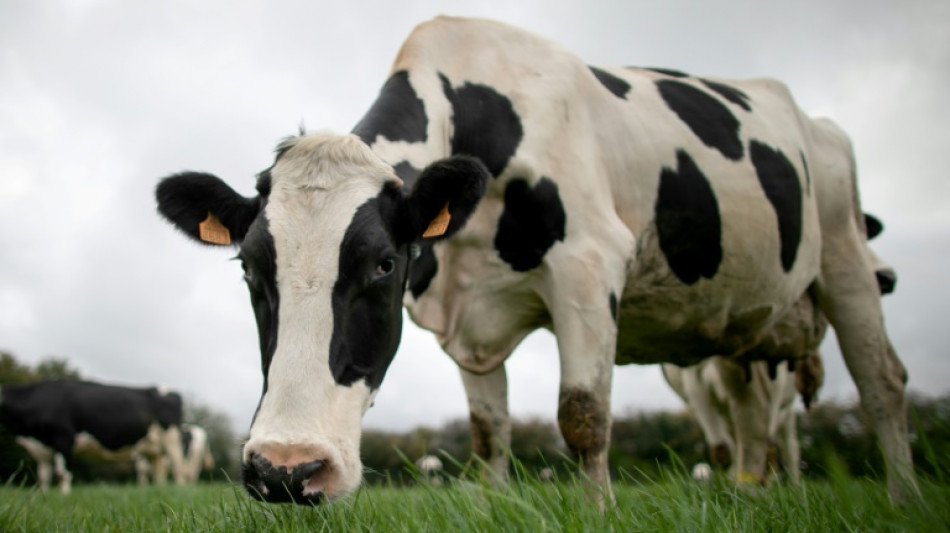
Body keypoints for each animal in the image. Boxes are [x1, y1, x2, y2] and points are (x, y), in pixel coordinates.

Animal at [0, 378, 188, 490]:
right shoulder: (43, 448)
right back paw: (158, 489)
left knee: (177, 466)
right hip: (153, 448)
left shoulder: (64, 438)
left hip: (171, 440)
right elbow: (43, 476)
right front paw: (44, 496)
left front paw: (63, 497)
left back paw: (179, 489)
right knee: (158, 471)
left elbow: (63, 473)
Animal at [660, 214, 900, 484]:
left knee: (788, 446)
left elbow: (766, 438)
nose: (886, 278)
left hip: (787, 407)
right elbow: (722, 449)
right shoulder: (695, 380)